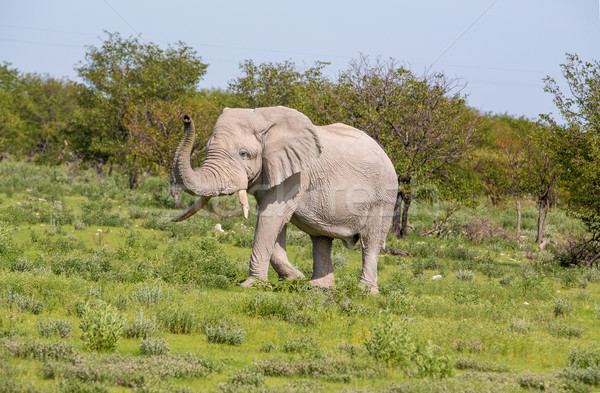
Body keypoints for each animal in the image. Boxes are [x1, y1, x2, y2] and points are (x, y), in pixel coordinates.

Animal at [171, 105, 398, 292]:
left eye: (244, 153)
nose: (186, 117)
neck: (263, 119)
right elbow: (273, 224)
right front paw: (294, 278)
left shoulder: (296, 174)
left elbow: (271, 217)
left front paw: (253, 286)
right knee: (321, 238)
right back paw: (319, 286)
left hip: (384, 194)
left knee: (370, 241)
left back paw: (365, 291)